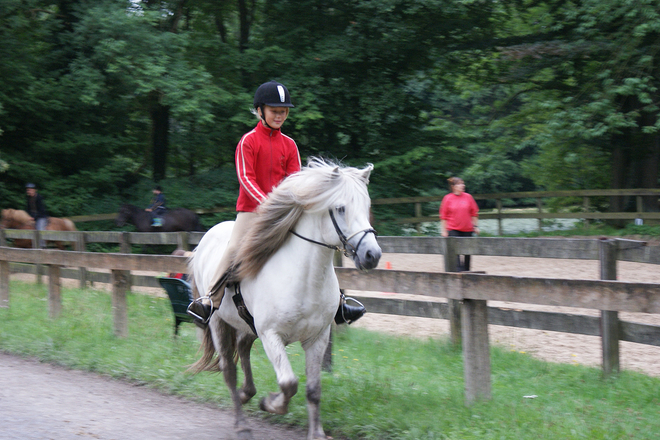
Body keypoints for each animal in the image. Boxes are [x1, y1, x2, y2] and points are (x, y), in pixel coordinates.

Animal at [188, 160, 378, 440]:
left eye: (366, 205)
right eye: (340, 208)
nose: (372, 255)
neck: (306, 278)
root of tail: (206, 238)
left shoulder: (317, 338)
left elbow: (313, 390)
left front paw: (316, 433)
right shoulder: (271, 335)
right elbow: (289, 384)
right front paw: (270, 404)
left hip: (247, 325)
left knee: (243, 347)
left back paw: (246, 394)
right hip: (218, 322)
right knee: (229, 370)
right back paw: (241, 422)